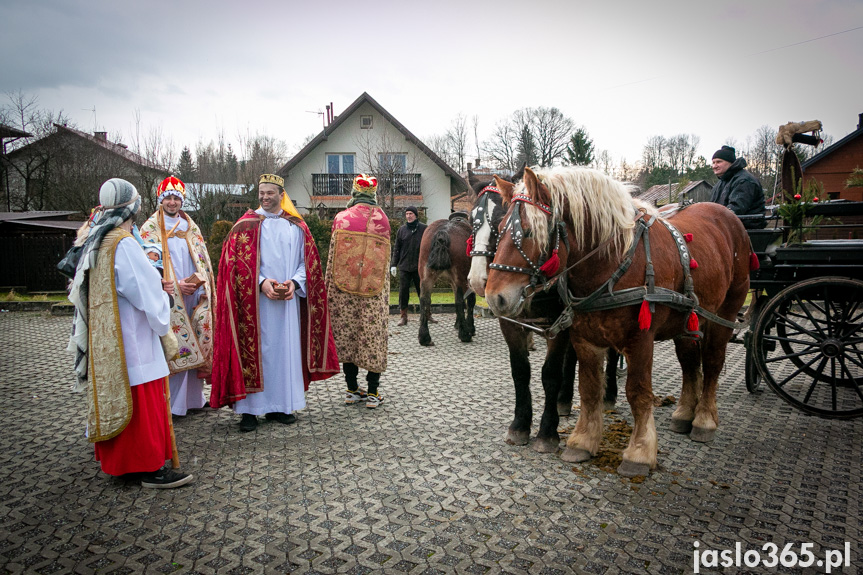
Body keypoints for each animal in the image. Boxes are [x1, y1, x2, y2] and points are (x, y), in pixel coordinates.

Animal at [416, 213, 476, 344]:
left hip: (426, 277)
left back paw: (424, 336)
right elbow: (469, 301)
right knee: (459, 301)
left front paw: (458, 323)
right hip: (460, 278)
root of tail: (443, 232)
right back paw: (464, 334)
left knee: (424, 300)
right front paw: (470, 327)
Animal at [482, 166, 752, 476]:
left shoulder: (640, 340)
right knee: (689, 363)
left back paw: (704, 419)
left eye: (527, 232)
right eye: (500, 230)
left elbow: (638, 392)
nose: (494, 297)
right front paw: (582, 441)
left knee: (712, 362)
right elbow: (588, 389)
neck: (614, 263)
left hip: (726, 312)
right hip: (688, 320)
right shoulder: (584, 338)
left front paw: (640, 451)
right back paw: (685, 413)